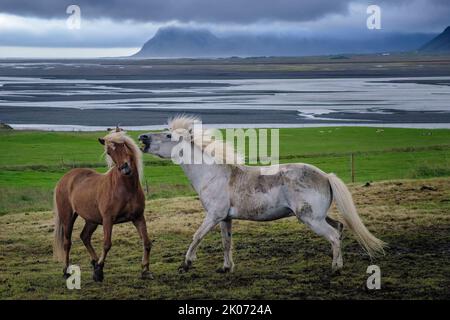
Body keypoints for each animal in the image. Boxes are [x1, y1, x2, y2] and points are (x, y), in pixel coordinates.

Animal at [53, 129, 153, 282]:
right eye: (109, 152)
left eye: (123, 145)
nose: (125, 169)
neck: (126, 188)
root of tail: (65, 178)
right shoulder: (108, 219)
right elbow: (107, 244)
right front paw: (99, 271)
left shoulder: (138, 217)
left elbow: (146, 242)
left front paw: (146, 270)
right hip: (68, 217)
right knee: (67, 243)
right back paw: (66, 271)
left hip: (92, 219)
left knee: (85, 236)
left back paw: (93, 262)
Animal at [139, 116, 384, 274]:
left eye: (168, 135)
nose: (143, 138)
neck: (213, 174)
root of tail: (325, 176)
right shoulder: (225, 218)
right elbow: (226, 242)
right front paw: (226, 267)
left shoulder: (213, 216)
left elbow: (197, 236)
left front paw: (187, 263)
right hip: (318, 216)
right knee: (339, 228)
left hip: (311, 219)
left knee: (333, 235)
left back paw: (335, 269)